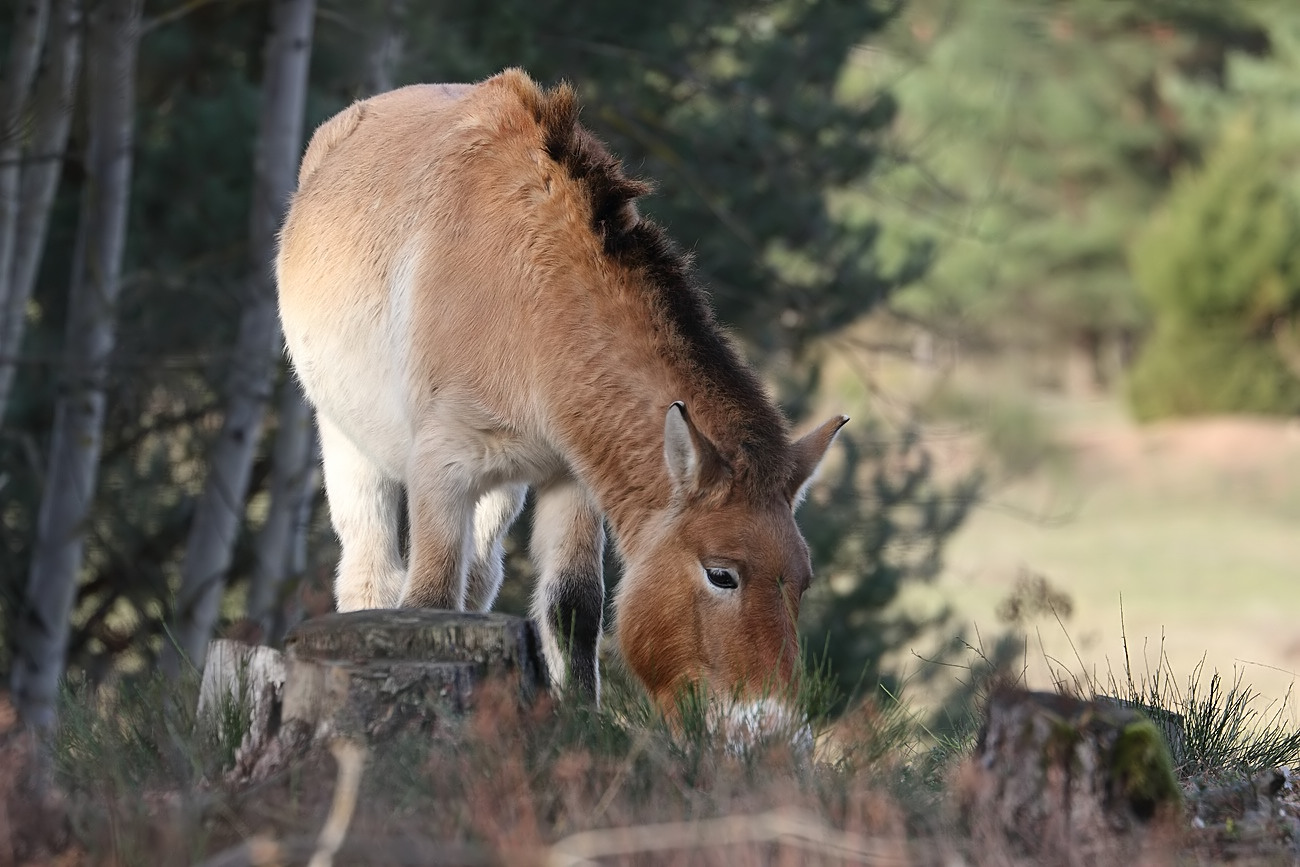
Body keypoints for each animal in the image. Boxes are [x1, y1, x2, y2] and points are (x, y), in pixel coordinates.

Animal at [276, 67, 842, 722]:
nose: (770, 726)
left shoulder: (569, 480)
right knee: (372, 575)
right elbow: (429, 596)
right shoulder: (439, 472)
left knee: (481, 575)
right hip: (347, 444)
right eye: (721, 574)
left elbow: (573, 608)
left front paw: (578, 718)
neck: (528, 297)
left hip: (502, 487)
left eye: (801, 581)